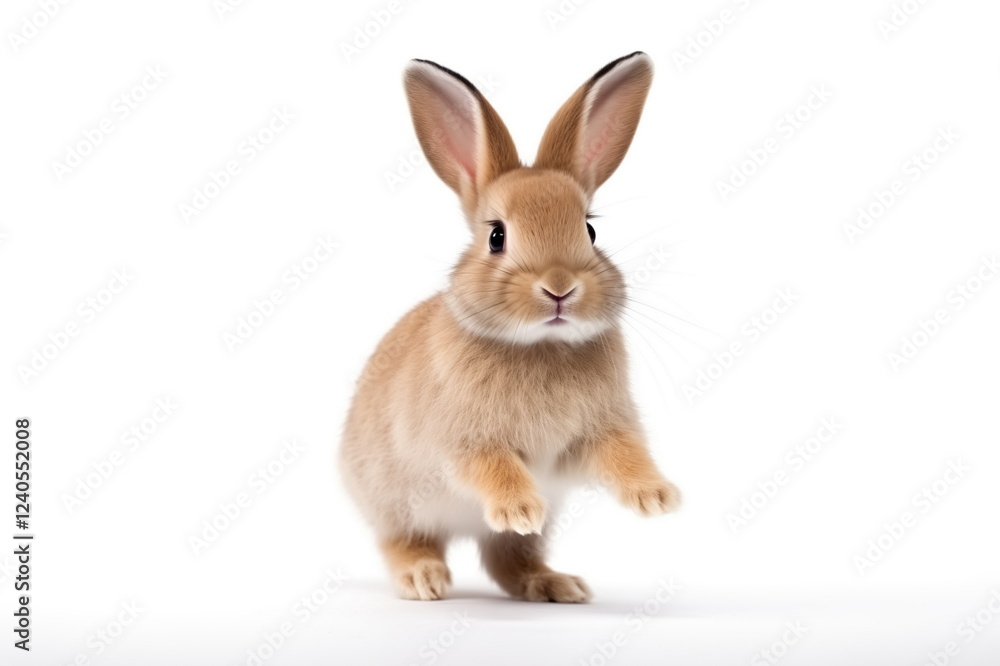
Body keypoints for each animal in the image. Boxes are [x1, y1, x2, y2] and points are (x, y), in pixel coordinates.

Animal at [339, 51, 681, 603]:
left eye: (589, 229)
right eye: (496, 236)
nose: (560, 287)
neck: (542, 345)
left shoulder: (599, 433)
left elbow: (623, 454)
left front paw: (657, 496)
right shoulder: (463, 442)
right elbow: (491, 466)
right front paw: (519, 507)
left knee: (507, 559)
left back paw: (557, 584)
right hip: (398, 504)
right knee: (404, 541)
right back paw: (424, 578)